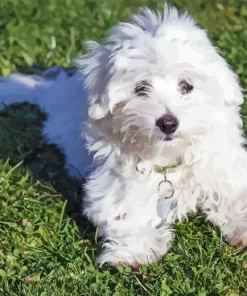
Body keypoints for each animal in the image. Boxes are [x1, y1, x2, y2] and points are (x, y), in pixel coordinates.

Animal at [1, 4, 247, 268]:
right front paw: (134, 252)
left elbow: (234, 196)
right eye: (141, 88)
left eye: (187, 86)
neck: (167, 156)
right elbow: (126, 210)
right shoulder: (116, 180)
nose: (168, 123)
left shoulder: (223, 166)